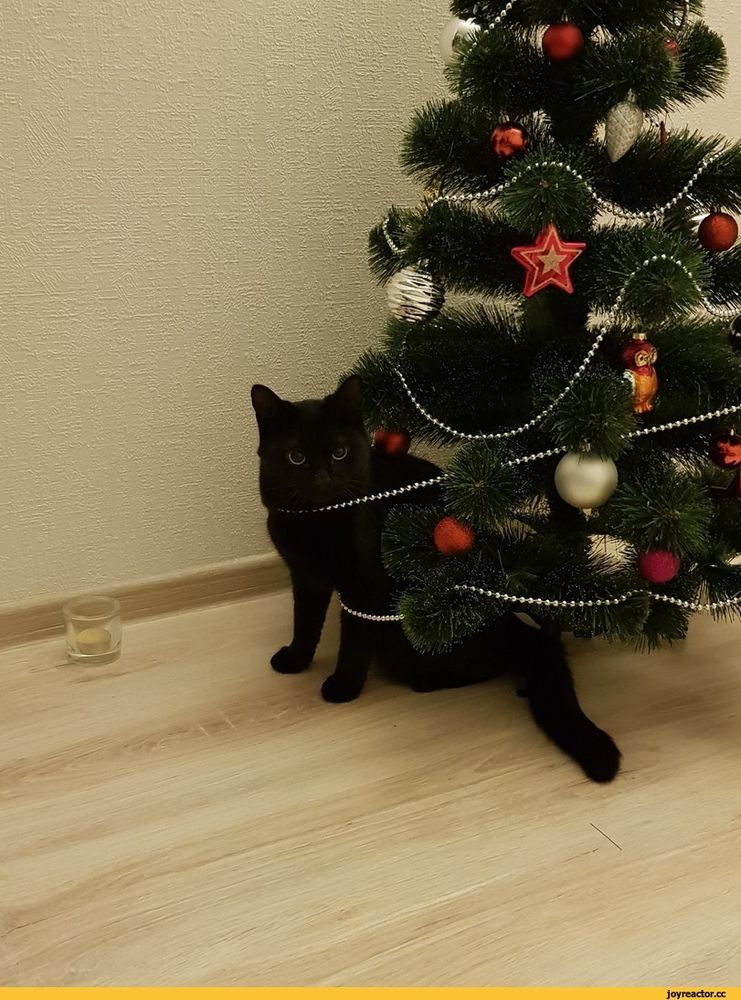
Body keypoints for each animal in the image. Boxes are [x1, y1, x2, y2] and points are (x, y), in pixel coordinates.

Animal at [251, 374, 621, 783]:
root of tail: (515, 628)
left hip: (405, 640)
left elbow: (354, 642)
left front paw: (342, 686)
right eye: (295, 458)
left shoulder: (364, 587)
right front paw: (295, 660)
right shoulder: (306, 577)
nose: (322, 479)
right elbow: (304, 623)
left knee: (490, 661)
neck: (317, 522)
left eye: (339, 453)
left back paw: (431, 681)